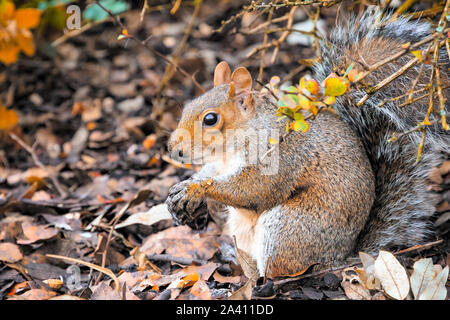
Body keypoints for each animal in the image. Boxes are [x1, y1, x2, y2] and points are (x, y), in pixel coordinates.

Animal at [165, 8, 450, 276]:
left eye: (210, 119)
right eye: (187, 107)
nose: (173, 149)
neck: (232, 147)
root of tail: (342, 256)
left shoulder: (280, 156)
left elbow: (254, 189)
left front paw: (196, 189)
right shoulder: (220, 163)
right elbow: (211, 171)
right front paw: (183, 188)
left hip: (288, 227)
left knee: (279, 268)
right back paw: (234, 257)